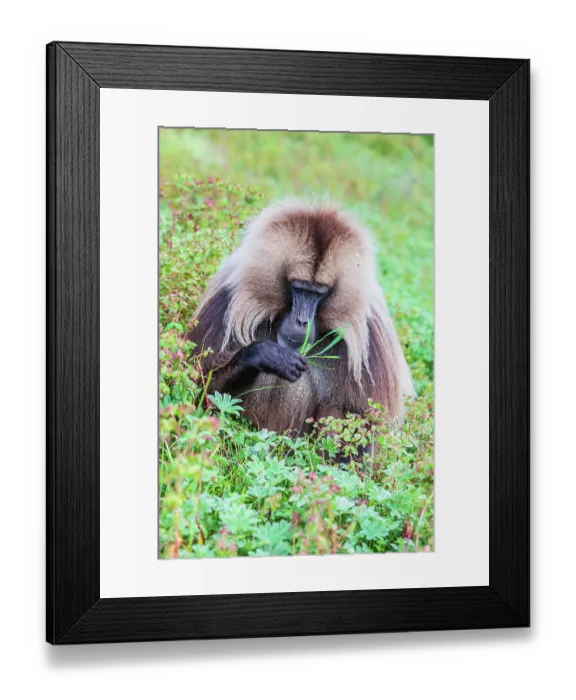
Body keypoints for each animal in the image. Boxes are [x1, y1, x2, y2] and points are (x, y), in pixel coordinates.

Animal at [185, 199, 415, 435]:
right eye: (298, 288)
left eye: (318, 294)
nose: (302, 322)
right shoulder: (227, 299)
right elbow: (198, 386)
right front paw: (264, 355)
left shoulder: (372, 335)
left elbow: (366, 424)